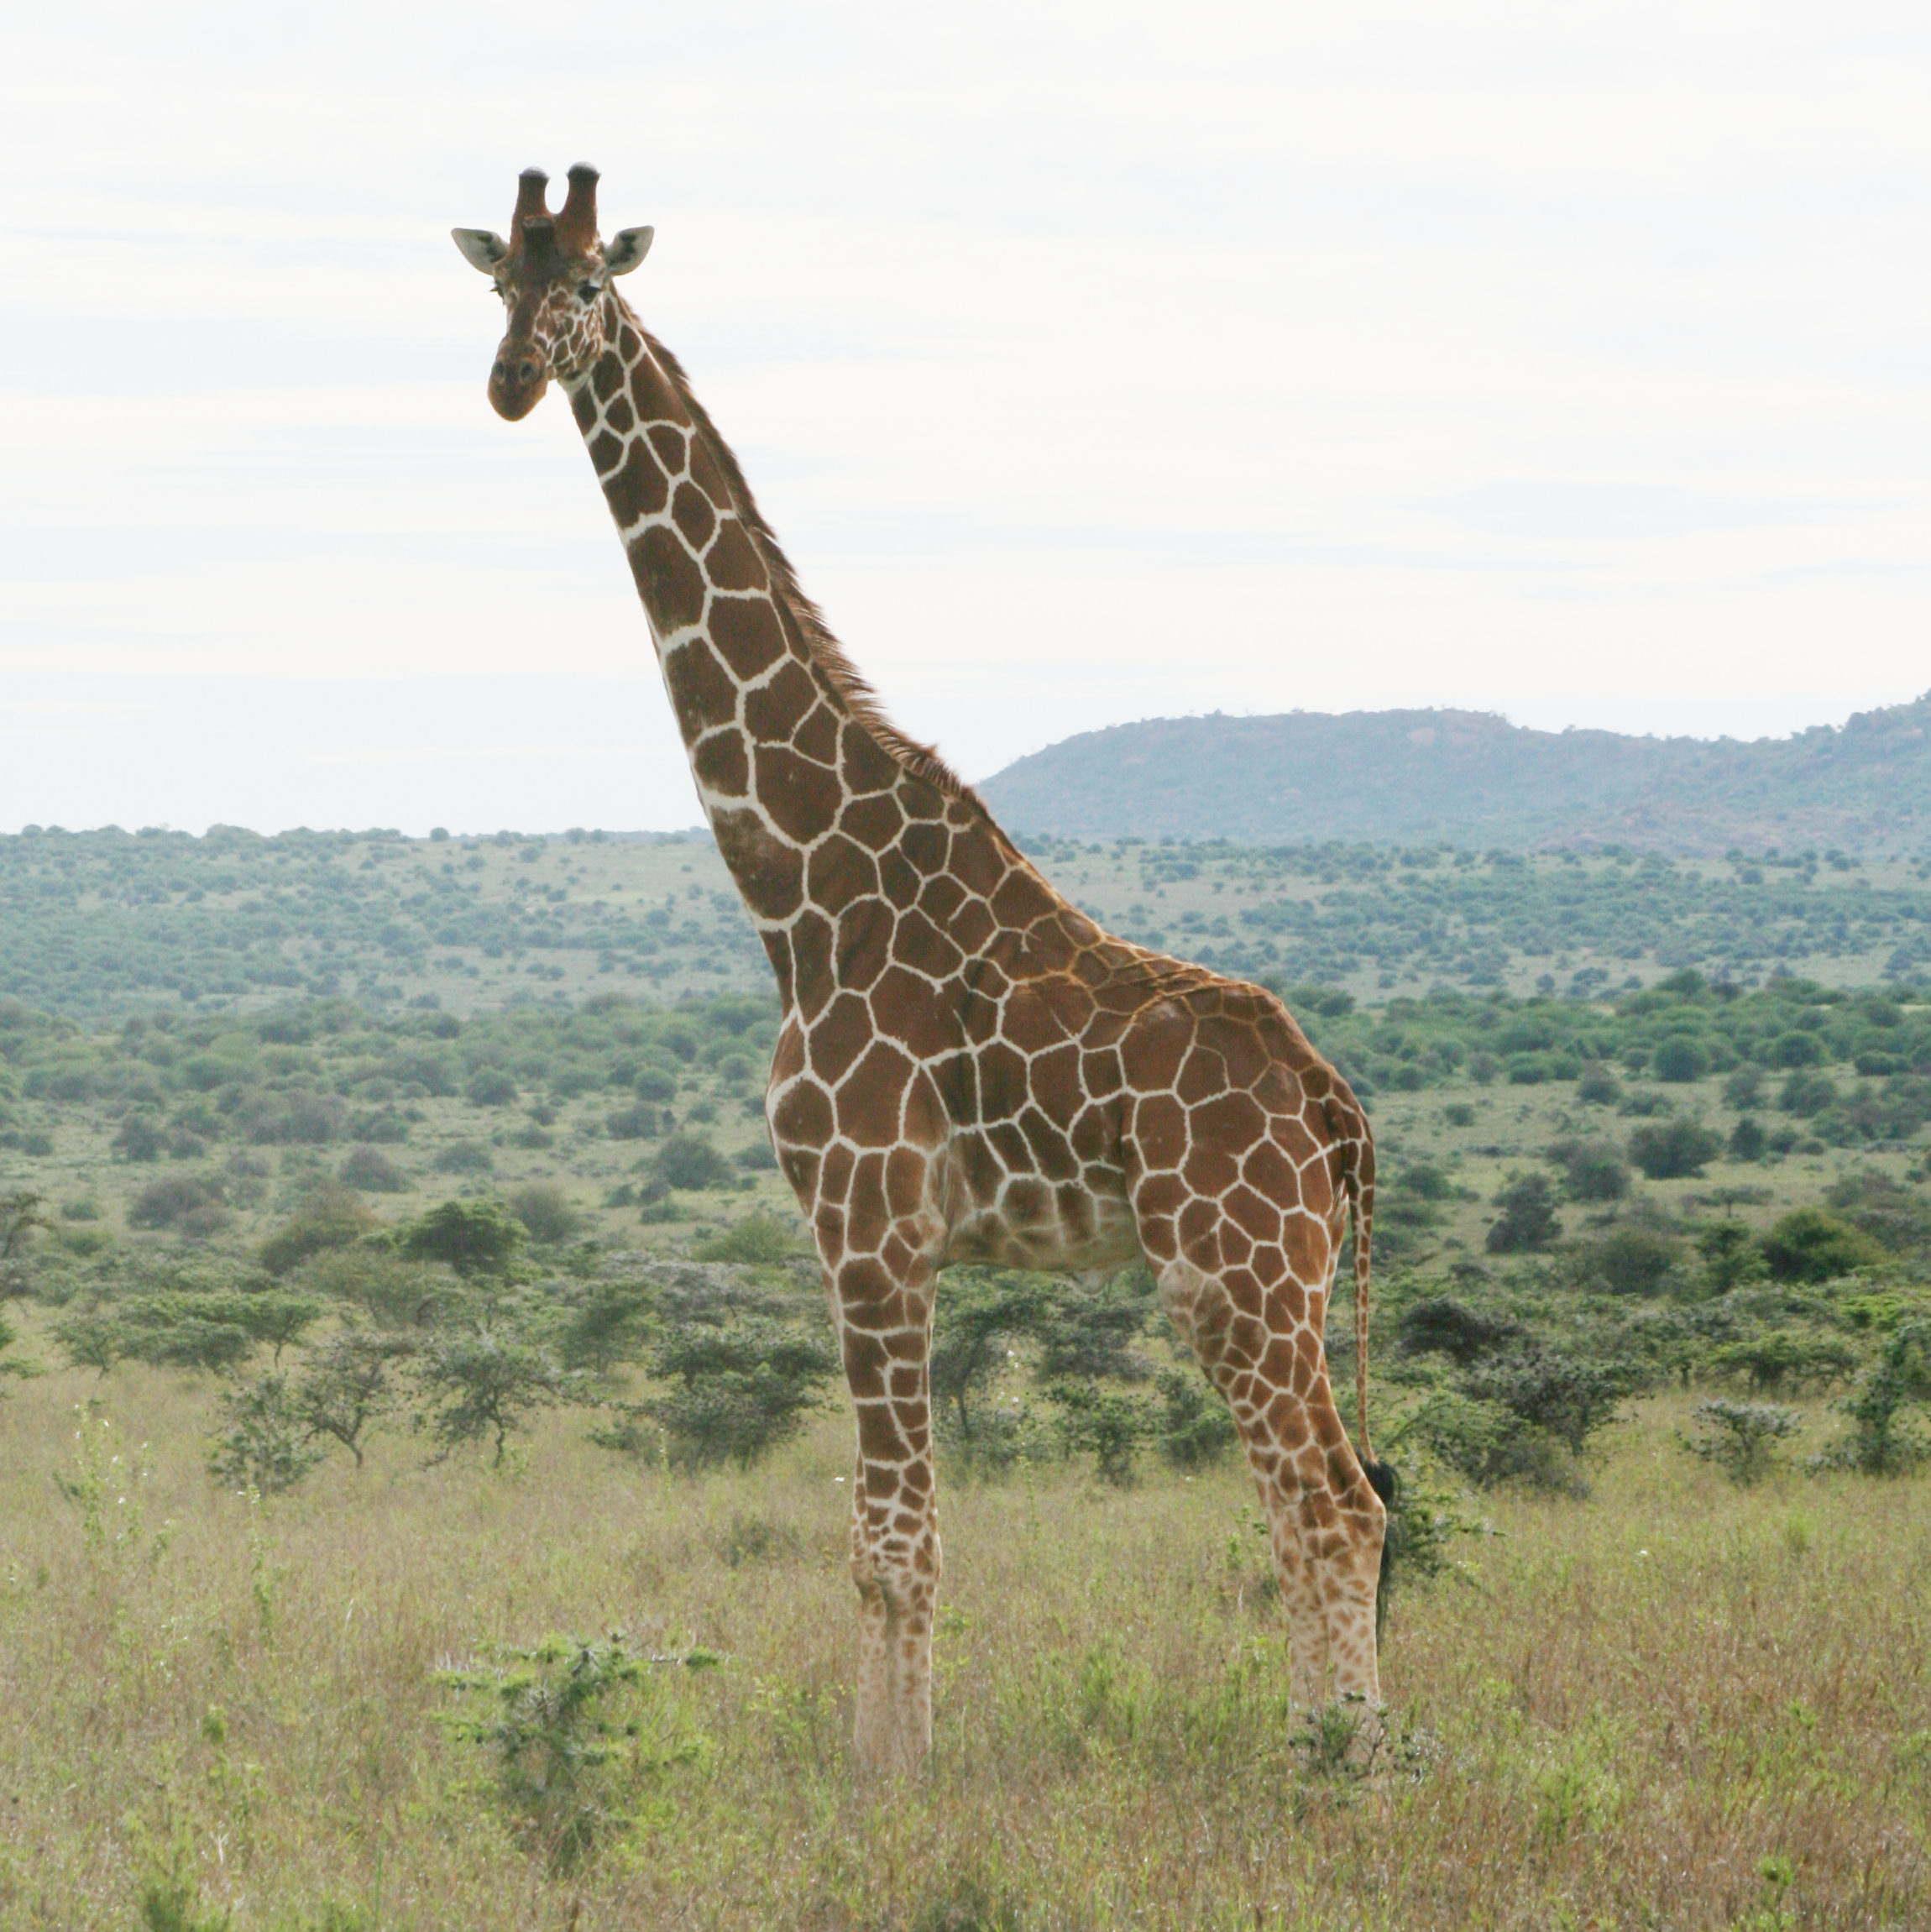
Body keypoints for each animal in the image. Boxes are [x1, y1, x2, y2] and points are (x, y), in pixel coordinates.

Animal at [453, 165, 1394, 1778]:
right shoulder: (881, 1240)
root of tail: (1337, 1113)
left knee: (1331, 1502)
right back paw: (1339, 1748)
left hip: (1238, 1274)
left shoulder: (871, 1228)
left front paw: (887, 1779)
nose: (514, 379)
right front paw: (891, 1758)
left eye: (584, 284)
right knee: (1325, 1500)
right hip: (1272, 1282)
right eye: (496, 285)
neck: (796, 880)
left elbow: (893, 1542)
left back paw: (1346, 1768)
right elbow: (893, 1535)